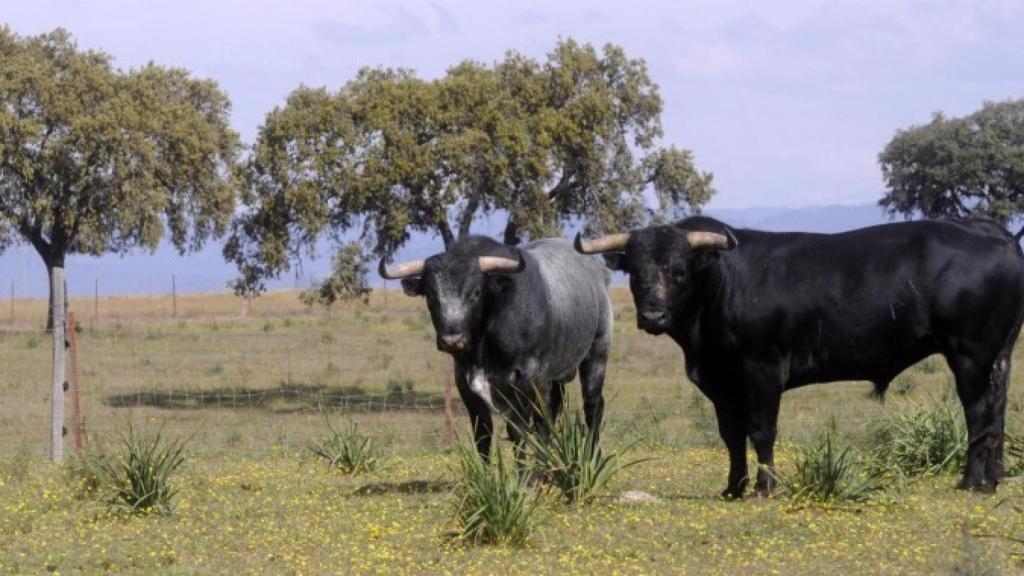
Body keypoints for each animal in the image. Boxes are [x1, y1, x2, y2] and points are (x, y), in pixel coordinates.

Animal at [577, 215, 1024, 494]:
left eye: (679, 270)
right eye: (635, 272)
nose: (652, 315)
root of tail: (988, 230)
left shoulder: (762, 371)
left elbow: (761, 431)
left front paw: (765, 488)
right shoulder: (720, 381)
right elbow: (731, 435)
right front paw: (732, 488)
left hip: (970, 355)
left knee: (978, 413)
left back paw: (972, 483)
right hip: (997, 356)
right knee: (997, 409)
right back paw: (995, 479)